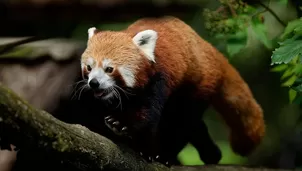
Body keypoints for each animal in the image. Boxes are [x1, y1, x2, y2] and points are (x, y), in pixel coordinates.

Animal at [80, 15, 264, 166]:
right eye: (89, 67)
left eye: (109, 69)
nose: (94, 83)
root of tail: (208, 48)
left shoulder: (159, 79)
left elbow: (146, 115)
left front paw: (123, 127)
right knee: (194, 124)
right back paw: (211, 154)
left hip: (197, 86)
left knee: (183, 120)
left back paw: (167, 155)